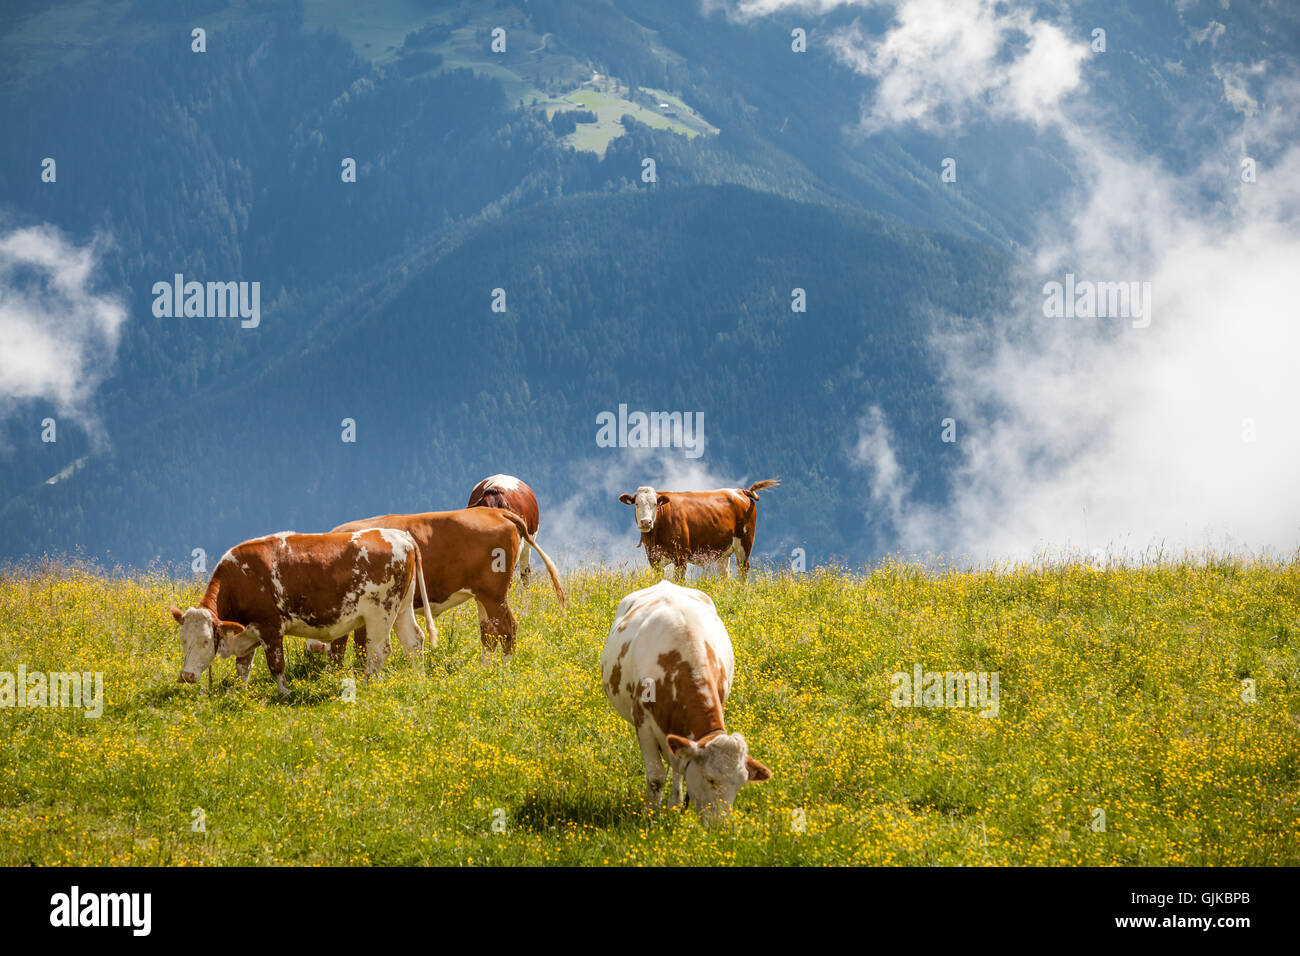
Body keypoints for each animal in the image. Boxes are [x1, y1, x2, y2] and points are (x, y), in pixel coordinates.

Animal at [169, 529, 435, 695]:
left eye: (206, 641)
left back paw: (367, 684)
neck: (241, 579)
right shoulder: (248, 632)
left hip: (381, 611)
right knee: (414, 640)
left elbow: (276, 664)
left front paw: (285, 694)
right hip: (402, 607)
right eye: (182, 640)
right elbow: (243, 667)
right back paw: (418, 680)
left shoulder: (270, 627)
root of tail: (400, 535)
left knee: (380, 650)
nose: (187, 675)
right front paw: (239, 693)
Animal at [331, 507, 565, 662]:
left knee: (507, 628)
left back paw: (506, 669)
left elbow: (346, 645)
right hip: (483, 596)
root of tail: (494, 512)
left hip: (493, 594)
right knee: (489, 632)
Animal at [601, 580, 771, 821]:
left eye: (740, 784)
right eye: (710, 779)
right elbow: (656, 776)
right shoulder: (643, 721)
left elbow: (679, 767)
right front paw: (651, 814)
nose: (720, 825)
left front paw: (674, 806)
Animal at [619, 479, 779, 583]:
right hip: (724, 551)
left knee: (743, 569)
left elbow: (679, 581)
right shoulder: (654, 559)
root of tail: (740, 491)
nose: (646, 522)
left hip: (744, 543)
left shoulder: (681, 556)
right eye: (637, 504)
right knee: (725, 574)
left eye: (655, 504)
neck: (655, 537)